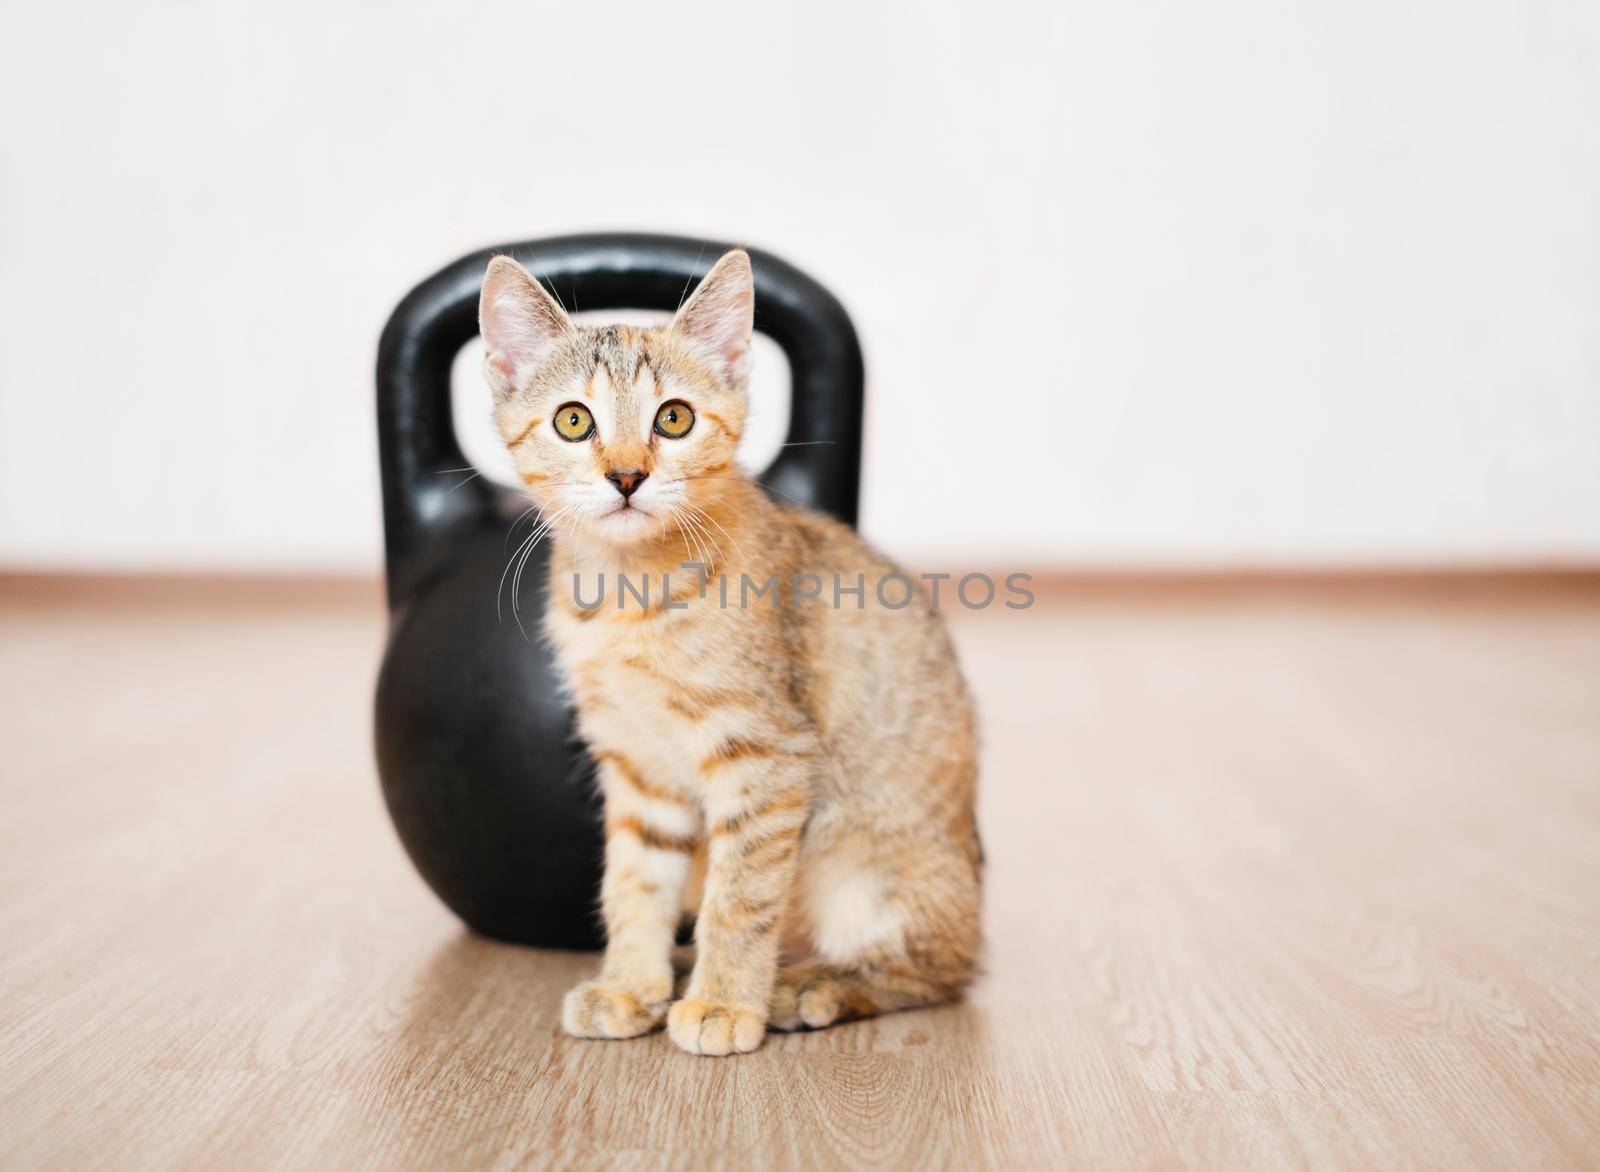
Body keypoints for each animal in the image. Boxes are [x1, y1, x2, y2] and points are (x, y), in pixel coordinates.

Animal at [476, 251, 972, 1056]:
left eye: (673, 418)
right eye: (573, 421)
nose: (626, 476)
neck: (630, 592)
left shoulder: (767, 755)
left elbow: (738, 896)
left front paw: (723, 1002)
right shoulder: (637, 764)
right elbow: (635, 882)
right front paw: (630, 984)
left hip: (866, 867)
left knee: (939, 968)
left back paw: (806, 985)